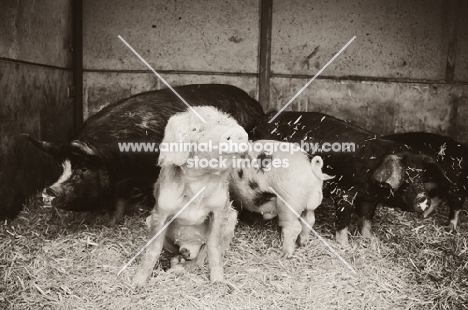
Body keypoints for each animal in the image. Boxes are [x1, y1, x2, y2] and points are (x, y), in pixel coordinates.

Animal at [23, 84, 266, 225]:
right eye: (62, 167)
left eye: (83, 168)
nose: (50, 190)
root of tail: (254, 103)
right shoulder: (122, 177)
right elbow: (120, 198)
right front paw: (113, 222)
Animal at [133, 106, 247, 286]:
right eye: (196, 129)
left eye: (221, 122)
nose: (236, 132)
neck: (199, 184)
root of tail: (189, 246)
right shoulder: (161, 210)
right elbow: (153, 248)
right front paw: (136, 283)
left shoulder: (220, 210)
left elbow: (214, 247)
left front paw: (218, 282)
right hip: (149, 220)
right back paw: (176, 263)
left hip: (232, 218)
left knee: (200, 258)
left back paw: (181, 266)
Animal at [252, 111, 454, 247]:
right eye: (406, 177)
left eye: (420, 176)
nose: (423, 197)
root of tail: (261, 121)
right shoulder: (343, 192)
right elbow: (344, 219)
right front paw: (345, 246)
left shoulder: (369, 198)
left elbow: (366, 218)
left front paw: (370, 239)